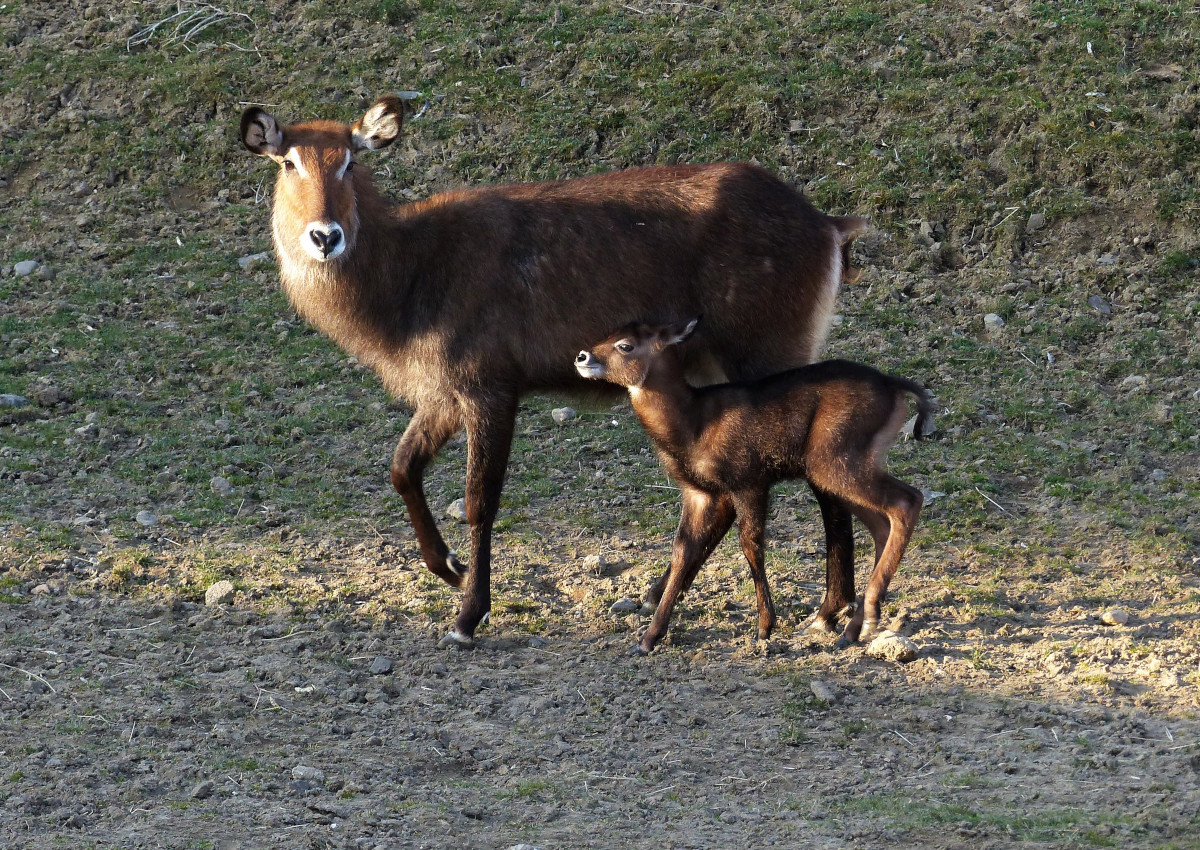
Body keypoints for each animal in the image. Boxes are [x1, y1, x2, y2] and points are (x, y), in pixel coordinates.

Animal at [238, 94, 868, 653]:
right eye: (288, 162)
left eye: (350, 159)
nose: (325, 236)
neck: (412, 274)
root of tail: (828, 225)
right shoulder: (443, 393)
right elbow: (401, 468)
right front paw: (449, 568)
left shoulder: (490, 386)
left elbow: (479, 500)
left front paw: (467, 616)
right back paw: (660, 594)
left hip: (770, 355)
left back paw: (827, 611)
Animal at [576, 314, 931, 653]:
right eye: (610, 332)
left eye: (626, 345)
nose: (582, 355)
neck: (694, 425)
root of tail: (895, 385)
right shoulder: (700, 492)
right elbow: (682, 550)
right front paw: (648, 638)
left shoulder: (748, 480)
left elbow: (750, 545)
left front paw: (764, 627)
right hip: (839, 470)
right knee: (881, 524)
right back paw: (852, 628)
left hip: (836, 461)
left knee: (907, 500)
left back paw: (863, 617)